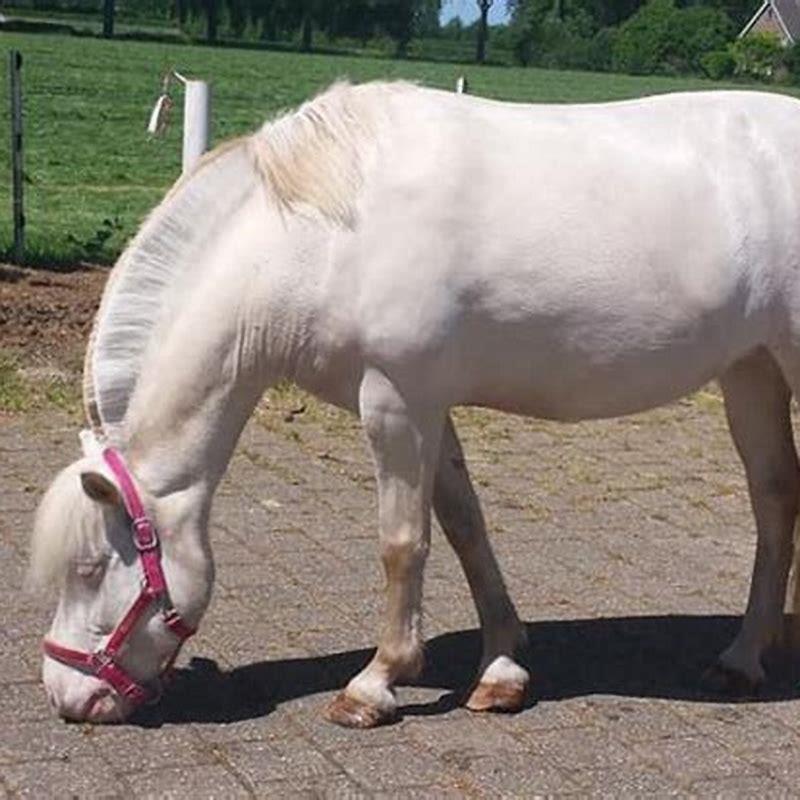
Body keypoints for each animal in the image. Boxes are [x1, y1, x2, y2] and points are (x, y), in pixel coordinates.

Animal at [30, 80, 800, 725]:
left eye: (91, 569)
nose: (67, 696)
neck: (321, 240)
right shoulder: (428, 406)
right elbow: (464, 525)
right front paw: (501, 668)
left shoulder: (394, 403)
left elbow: (402, 542)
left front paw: (376, 683)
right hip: (751, 372)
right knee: (774, 499)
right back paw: (745, 658)